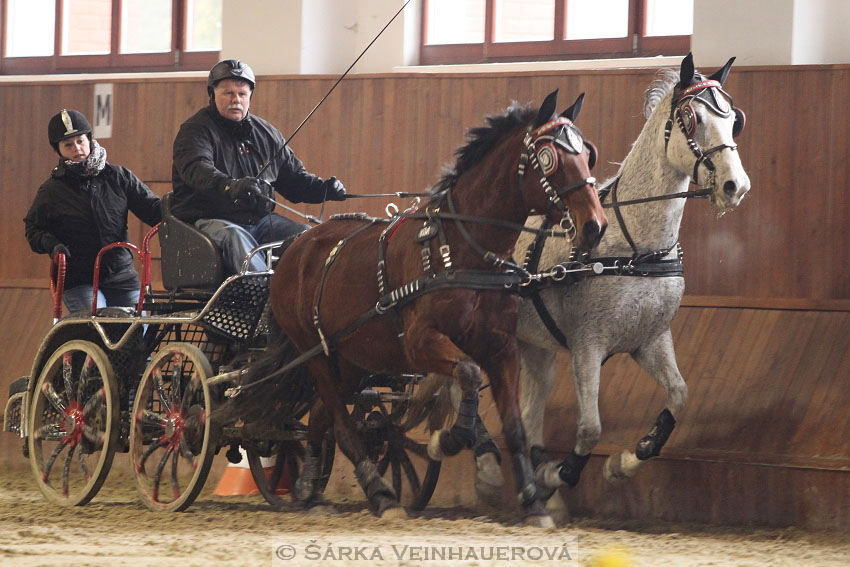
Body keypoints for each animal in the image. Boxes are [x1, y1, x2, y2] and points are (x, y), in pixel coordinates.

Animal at [258, 91, 604, 524]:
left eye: (588, 154)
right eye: (548, 158)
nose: (594, 225)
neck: (465, 249)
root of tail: (296, 246)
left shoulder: (502, 348)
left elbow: (515, 427)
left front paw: (532, 501)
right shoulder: (420, 343)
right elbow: (469, 375)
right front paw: (450, 439)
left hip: (353, 358)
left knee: (322, 416)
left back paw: (311, 490)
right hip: (315, 352)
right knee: (342, 424)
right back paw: (380, 495)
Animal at [470, 53, 748, 520]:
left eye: (735, 120)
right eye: (691, 119)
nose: (735, 186)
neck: (635, 245)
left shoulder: (650, 339)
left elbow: (679, 396)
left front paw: (625, 462)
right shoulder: (588, 345)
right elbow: (589, 429)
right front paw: (556, 476)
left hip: (533, 347)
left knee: (524, 409)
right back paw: (478, 461)